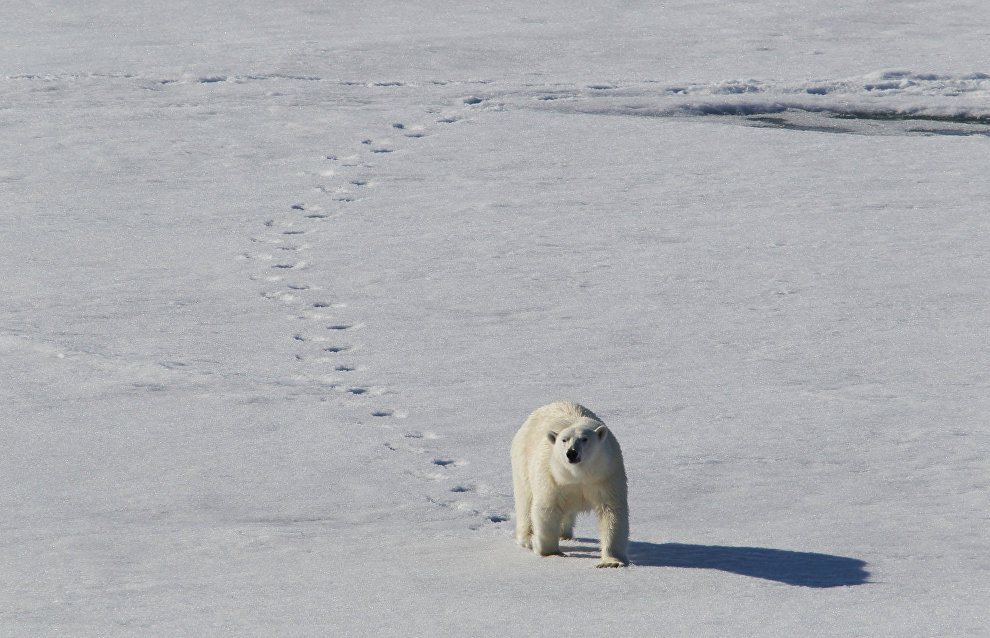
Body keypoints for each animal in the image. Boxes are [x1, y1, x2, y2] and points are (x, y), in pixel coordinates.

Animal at [512, 402, 628, 568]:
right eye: (564, 440)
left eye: (585, 439)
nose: (572, 453)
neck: (578, 475)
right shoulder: (552, 476)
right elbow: (547, 507)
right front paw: (551, 552)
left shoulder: (605, 475)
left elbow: (611, 510)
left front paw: (612, 562)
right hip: (523, 460)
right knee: (525, 501)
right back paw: (528, 538)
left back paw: (564, 534)